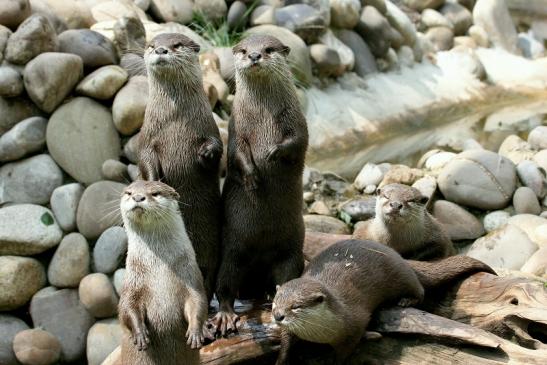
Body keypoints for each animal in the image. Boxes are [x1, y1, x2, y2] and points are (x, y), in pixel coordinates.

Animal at [119, 180, 211, 364]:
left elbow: (199, 300)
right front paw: (140, 334)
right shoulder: (132, 279)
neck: (159, 267)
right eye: (128, 192)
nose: (138, 197)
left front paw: (196, 332)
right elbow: (126, 306)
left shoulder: (191, 274)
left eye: (155, 193)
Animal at [140, 32, 224, 300]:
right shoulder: (147, 137)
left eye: (176, 45)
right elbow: (145, 159)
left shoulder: (209, 126)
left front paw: (207, 152)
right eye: (151, 46)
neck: (174, 121)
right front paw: (154, 182)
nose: (161, 50)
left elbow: (217, 152)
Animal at [213, 35, 310, 334]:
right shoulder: (236, 127)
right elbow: (237, 155)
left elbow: (297, 142)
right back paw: (225, 315)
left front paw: (273, 153)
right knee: (225, 286)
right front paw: (253, 177)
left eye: (268, 49)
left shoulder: (296, 120)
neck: (261, 117)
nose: (254, 56)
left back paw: (273, 296)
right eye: (244, 50)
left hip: (292, 249)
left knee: (285, 277)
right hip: (232, 250)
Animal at [274, 239, 496, 364]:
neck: (319, 334)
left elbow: (345, 352)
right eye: (276, 302)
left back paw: (405, 302)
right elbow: (285, 342)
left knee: (420, 289)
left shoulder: (354, 323)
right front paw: (281, 360)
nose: (277, 316)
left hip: (401, 276)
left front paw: (331, 360)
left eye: (296, 306)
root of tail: (399, 257)